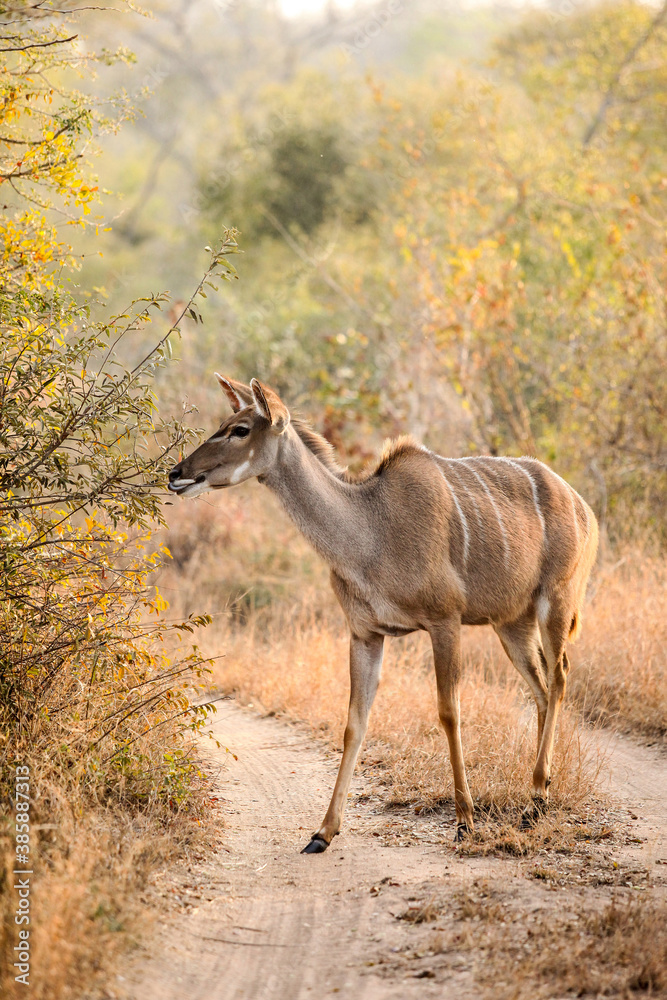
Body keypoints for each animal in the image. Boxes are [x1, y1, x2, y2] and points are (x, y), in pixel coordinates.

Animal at [168, 376, 598, 853]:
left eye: (240, 429)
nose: (176, 473)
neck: (371, 532)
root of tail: (584, 508)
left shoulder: (444, 621)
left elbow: (449, 712)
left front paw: (465, 821)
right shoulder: (366, 633)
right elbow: (354, 723)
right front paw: (322, 833)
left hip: (555, 602)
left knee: (559, 677)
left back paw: (534, 800)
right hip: (511, 623)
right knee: (540, 687)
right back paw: (537, 795)